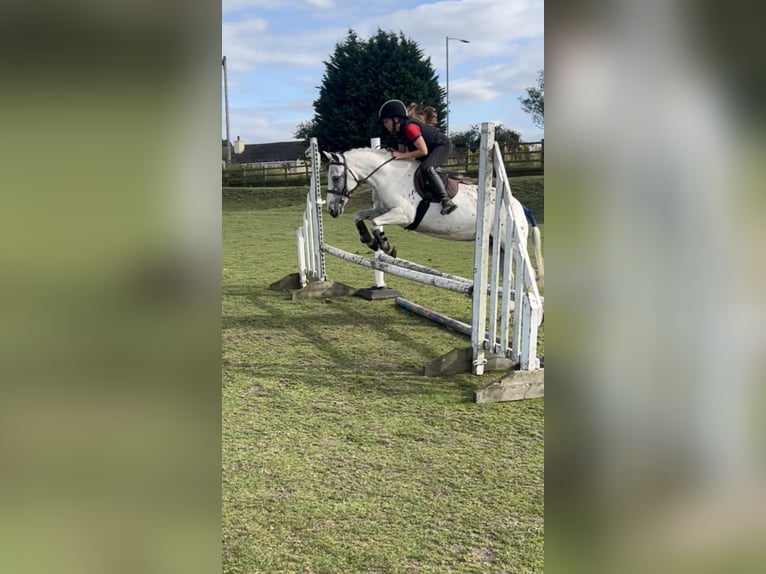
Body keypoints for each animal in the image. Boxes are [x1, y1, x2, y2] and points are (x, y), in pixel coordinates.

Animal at [324, 146, 544, 286]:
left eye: (335, 177)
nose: (332, 209)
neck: (388, 176)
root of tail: (519, 205)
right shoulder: (380, 209)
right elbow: (360, 216)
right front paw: (369, 240)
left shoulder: (404, 215)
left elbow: (377, 223)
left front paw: (387, 247)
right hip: (495, 246)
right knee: (510, 278)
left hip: (512, 245)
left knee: (527, 275)